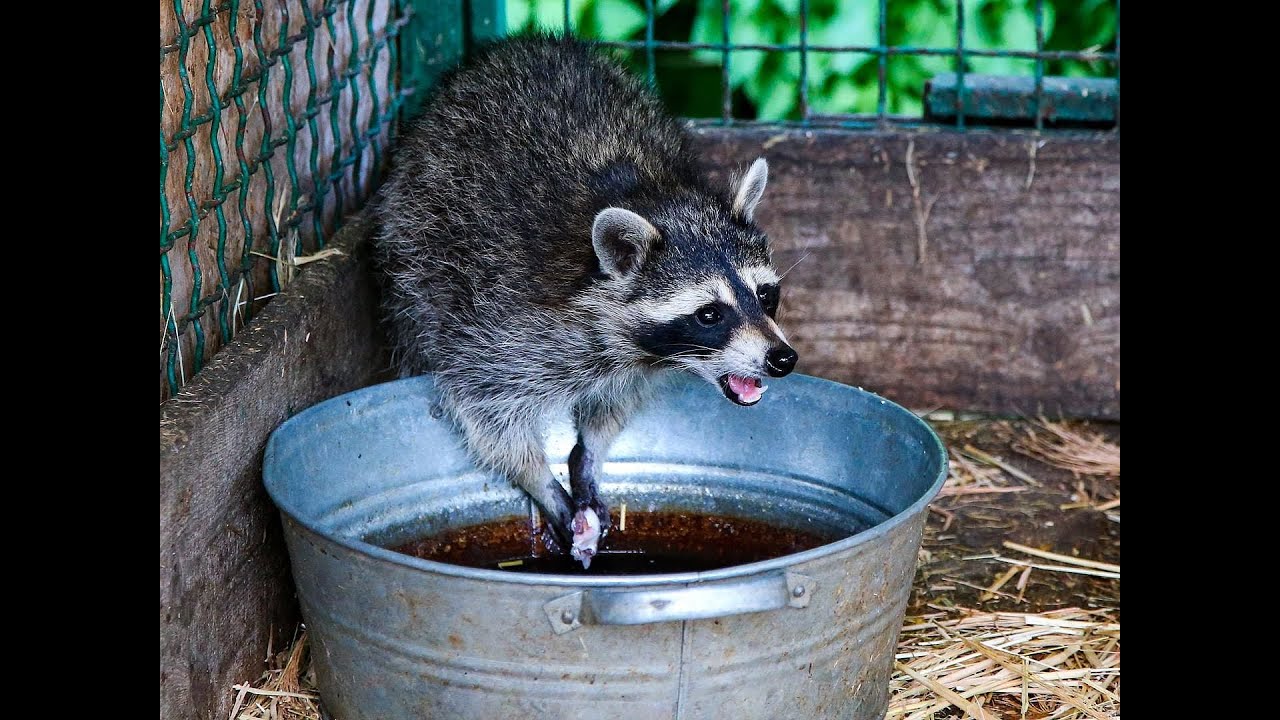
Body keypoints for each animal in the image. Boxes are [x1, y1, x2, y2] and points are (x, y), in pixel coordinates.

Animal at [371, 36, 793, 566]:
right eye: (709, 313)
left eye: (765, 294)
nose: (782, 358)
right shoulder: (497, 324)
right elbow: (484, 409)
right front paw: (538, 480)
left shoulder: (628, 365)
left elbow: (614, 401)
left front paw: (589, 452)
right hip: (412, 257)